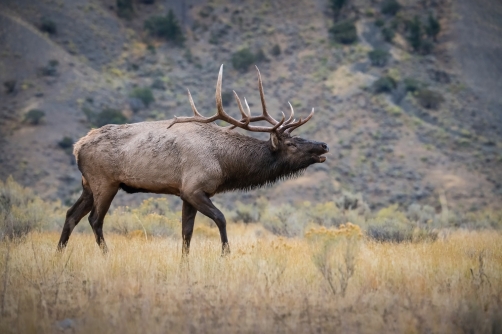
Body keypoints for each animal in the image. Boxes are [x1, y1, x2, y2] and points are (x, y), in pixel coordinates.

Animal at [56, 64, 330, 254]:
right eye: (291, 143)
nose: (323, 145)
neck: (225, 165)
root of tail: (77, 147)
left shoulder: (185, 193)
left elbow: (186, 233)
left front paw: (184, 263)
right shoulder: (194, 188)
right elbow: (221, 218)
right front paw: (225, 254)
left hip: (88, 185)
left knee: (71, 215)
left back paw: (59, 254)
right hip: (105, 182)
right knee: (94, 220)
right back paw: (106, 254)